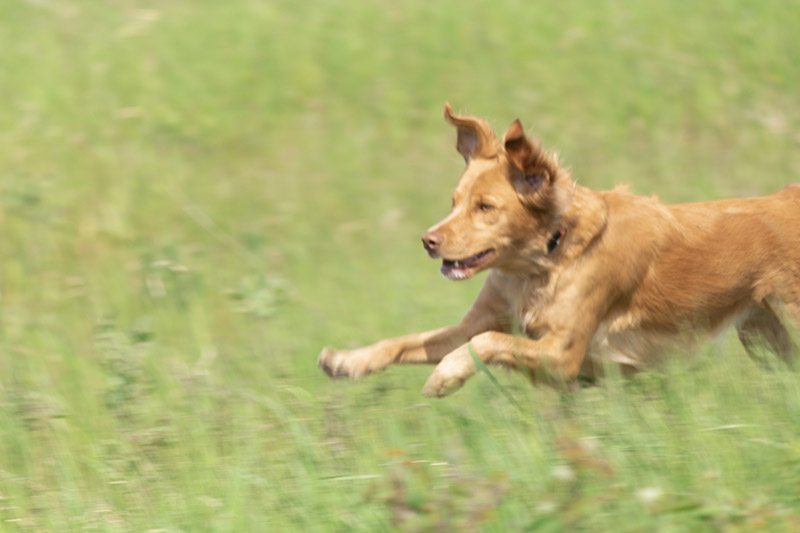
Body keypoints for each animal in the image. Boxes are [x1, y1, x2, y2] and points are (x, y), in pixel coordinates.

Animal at [318, 104, 800, 394]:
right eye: (453, 201)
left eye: (485, 206)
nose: (428, 241)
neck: (546, 257)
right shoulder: (481, 320)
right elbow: (408, 340)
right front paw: (346, 360)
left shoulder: (564, 354)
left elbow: (487, 342)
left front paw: (445, 376)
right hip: (762, 335)